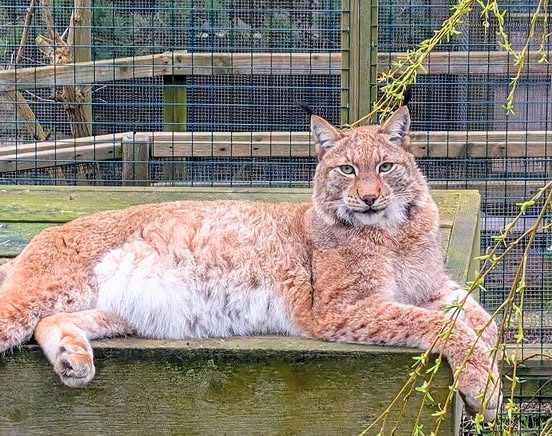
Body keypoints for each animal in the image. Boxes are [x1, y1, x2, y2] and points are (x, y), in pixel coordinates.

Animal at [0, 107, 500, 422]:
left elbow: (484, 322)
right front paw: (482, 386)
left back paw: (72, 358)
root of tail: (43, 234)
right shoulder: (338, 309)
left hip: (117, 310)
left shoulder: (430, 286)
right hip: (45, 289)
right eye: (347, 170)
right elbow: (441, 325)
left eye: (385, 167)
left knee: (49, 321)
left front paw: (491, 376)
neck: (392, 231)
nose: (369, 197)